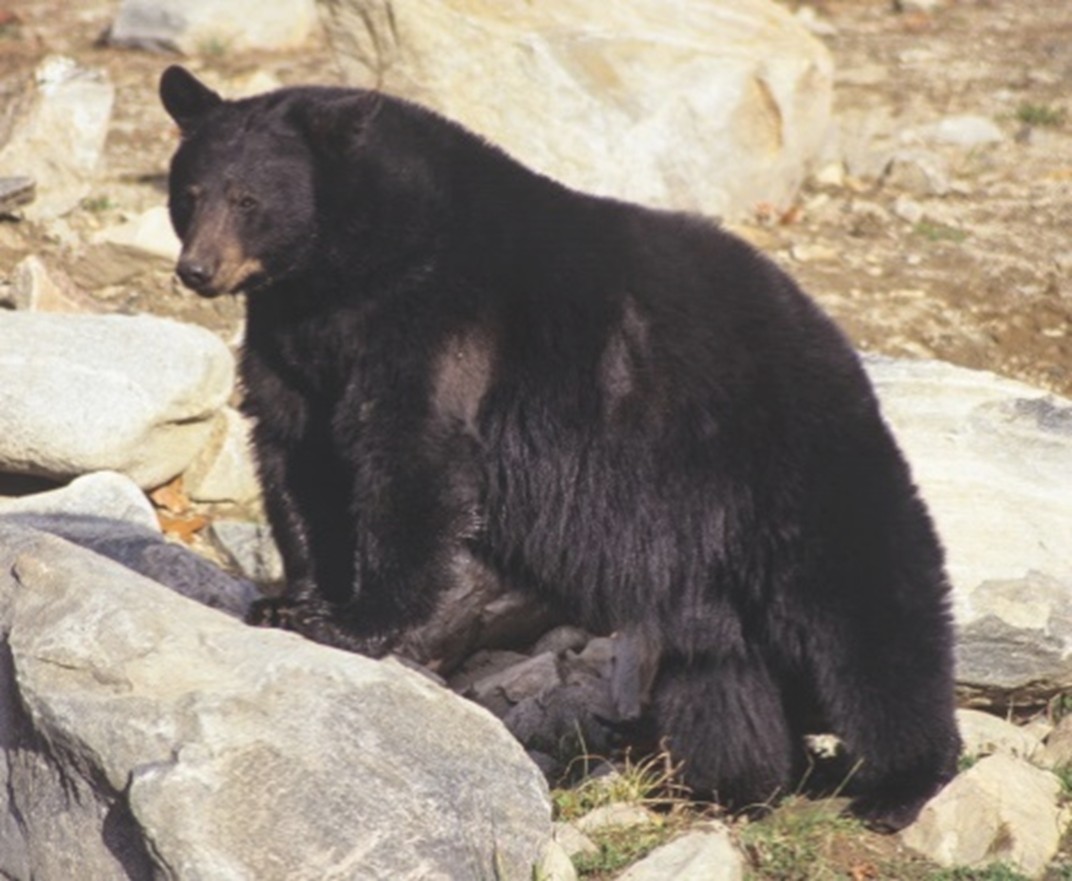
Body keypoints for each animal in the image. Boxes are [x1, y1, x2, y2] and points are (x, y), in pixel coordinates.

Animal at [159, 64, 960, 831]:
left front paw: (356, 622)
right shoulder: (292, 337)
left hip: (792, 463)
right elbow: (300, 456)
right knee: (721, 659)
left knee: (863, 614)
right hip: (708, 554)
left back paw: (900, 782)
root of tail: (837, 342)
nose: (197, 269)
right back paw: (734, 781)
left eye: (248, 199)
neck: (344, 270)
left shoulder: (433, 322)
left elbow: (411, 458)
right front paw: (290, 601)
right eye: (189, 192)